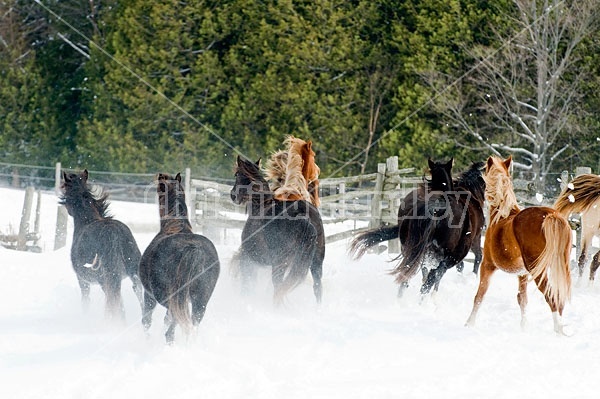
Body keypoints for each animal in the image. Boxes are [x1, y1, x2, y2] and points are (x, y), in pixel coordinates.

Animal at [60, 170, 143, 320]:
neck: (86, 220)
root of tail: (113, 233)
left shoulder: (83, 281)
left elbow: (85, 302)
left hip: (105, 280)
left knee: (116, 304)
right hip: (134, 274)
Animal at [139, 173, 220, 346]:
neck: (175, 225)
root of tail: (194, 250)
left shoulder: (149, 294)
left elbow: (147, 320)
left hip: (171, 300)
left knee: (171, 328)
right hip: (200, 302)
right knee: (191, 325)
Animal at [231, 156, 326, 304]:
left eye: (236, 174)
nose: (233, 195)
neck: (261, 205)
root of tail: (303, 215)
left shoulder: (248, 257)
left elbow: (247, 284)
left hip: (280, 263)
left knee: (278, 288)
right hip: (316, 262)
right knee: (317, 288)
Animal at [350, 159, 486, 296]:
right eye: (484, 184)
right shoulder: (472, 240)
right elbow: (476, 258)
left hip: (413, 249)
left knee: (409, 274)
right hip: (452, 252)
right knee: (434, 275)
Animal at [464, 156, 572, 334]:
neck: (501, 215)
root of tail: (552, 215)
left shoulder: (487, 265)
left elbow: (479, 296)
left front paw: (469, 324)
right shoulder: (522, 274)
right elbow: (522, 300)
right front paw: (523, 328)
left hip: (539, 271)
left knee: (552, 298)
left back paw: (558, 331)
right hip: (559, 266)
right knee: (559, 299)